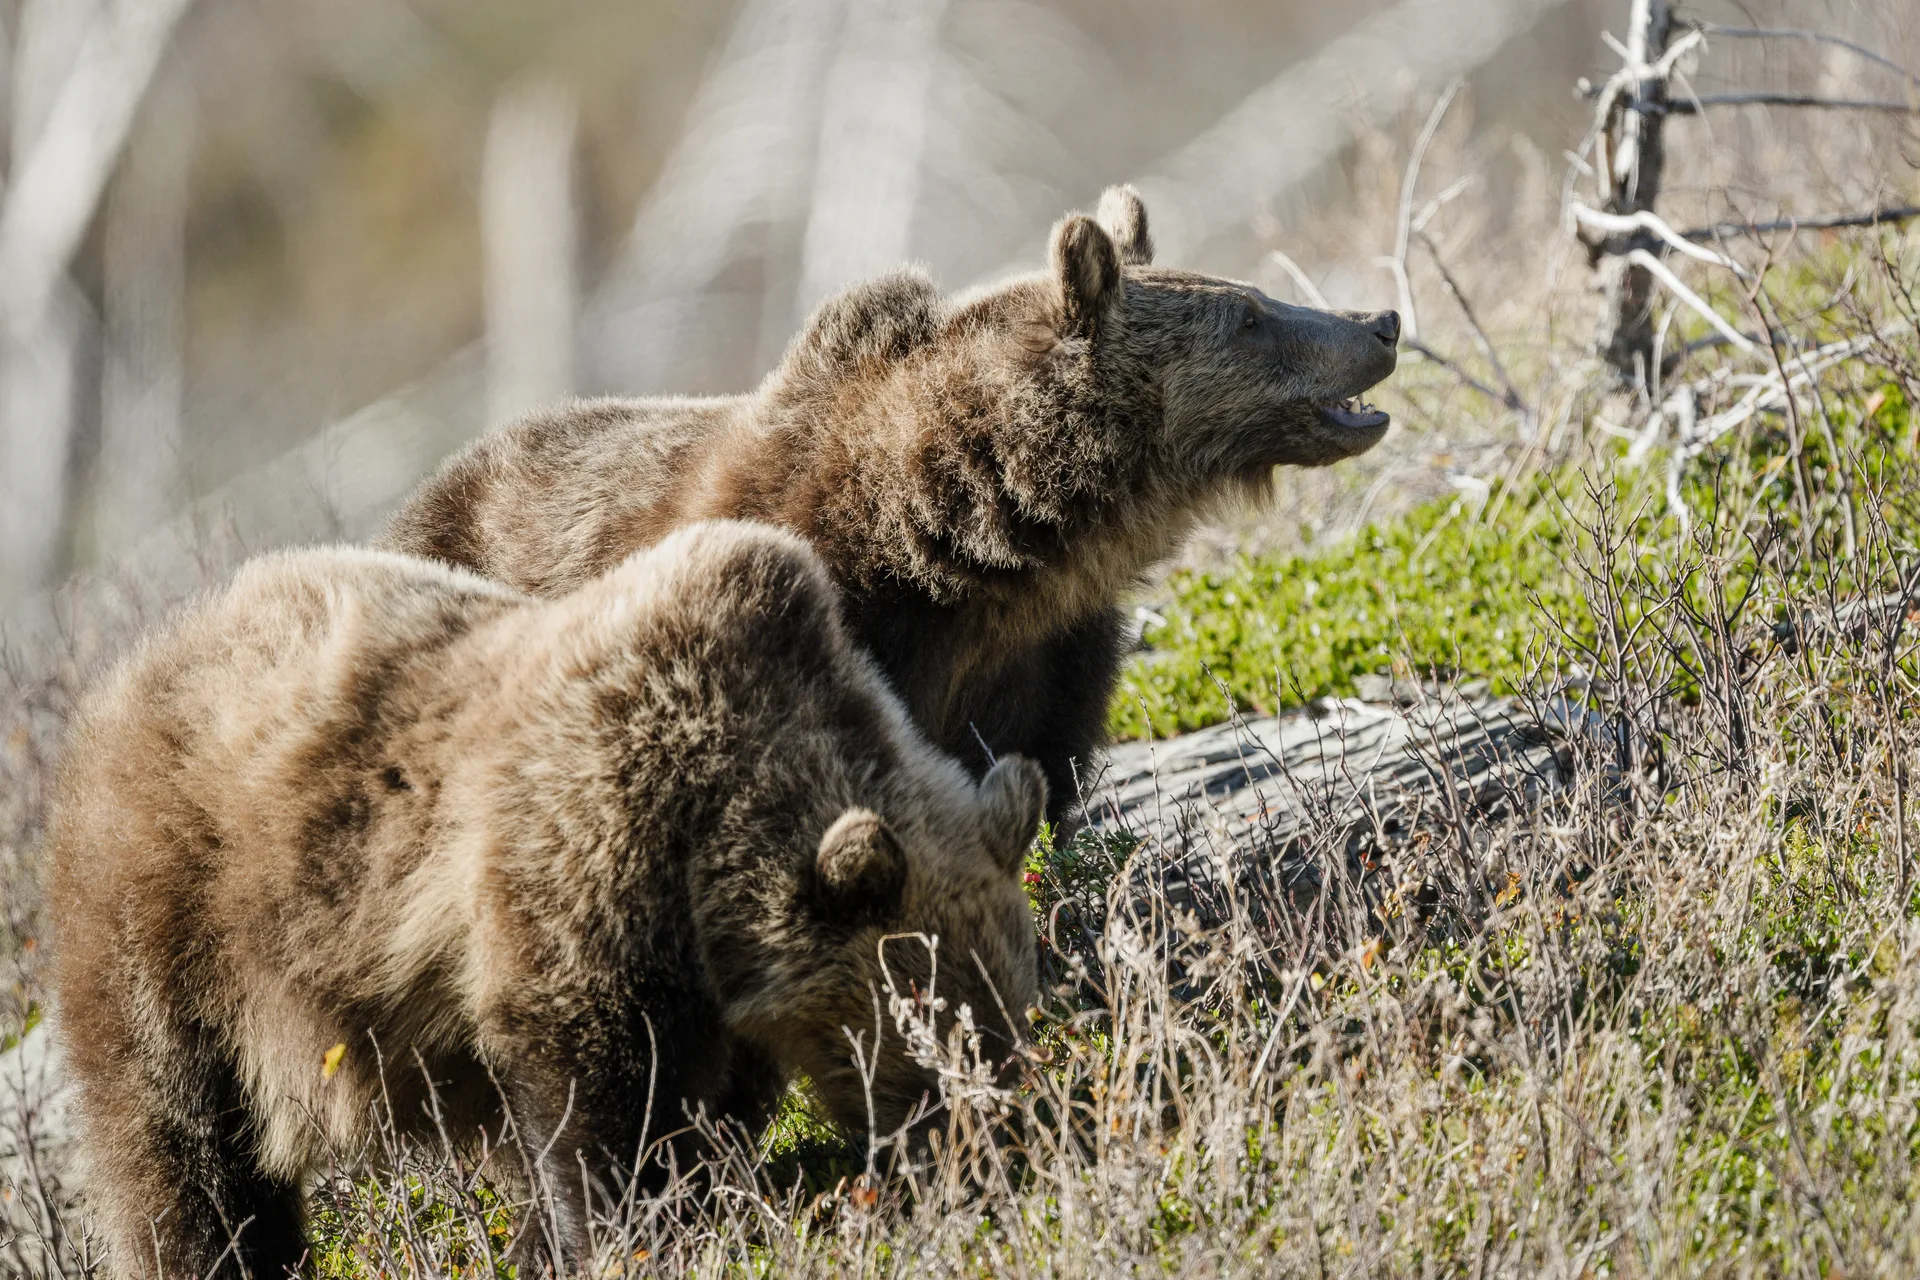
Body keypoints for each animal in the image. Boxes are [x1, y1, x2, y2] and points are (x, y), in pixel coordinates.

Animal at [48, 520, 1045, 1280]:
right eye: (930, 1045)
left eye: (1013, 1022)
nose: (1000, 1158)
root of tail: (125, 673)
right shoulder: (580, 851)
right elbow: (600, 1103)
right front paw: (631, 1234)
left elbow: (704, 1107)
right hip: (178, 913)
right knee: (181, 1137)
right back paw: (218, 1254)